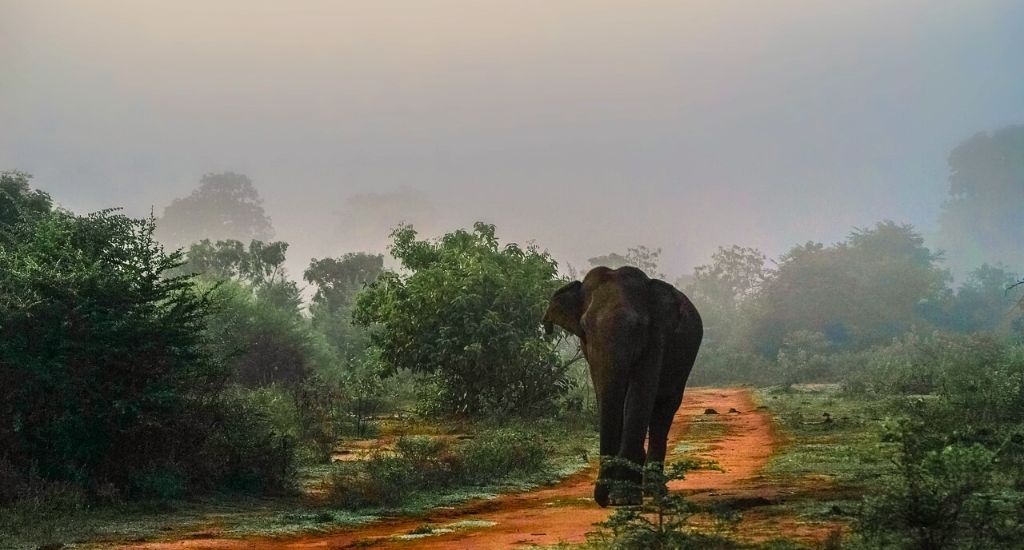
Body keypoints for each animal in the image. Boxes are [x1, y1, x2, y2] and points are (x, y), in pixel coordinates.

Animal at [543, 266, 702, 507]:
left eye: (638, 326)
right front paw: (620, 493)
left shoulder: (656, 338)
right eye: (584, 327)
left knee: (664, 408)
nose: (601, 498)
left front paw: (623, 497)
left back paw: (655, 491)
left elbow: (639, 396)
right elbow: (604, 391)